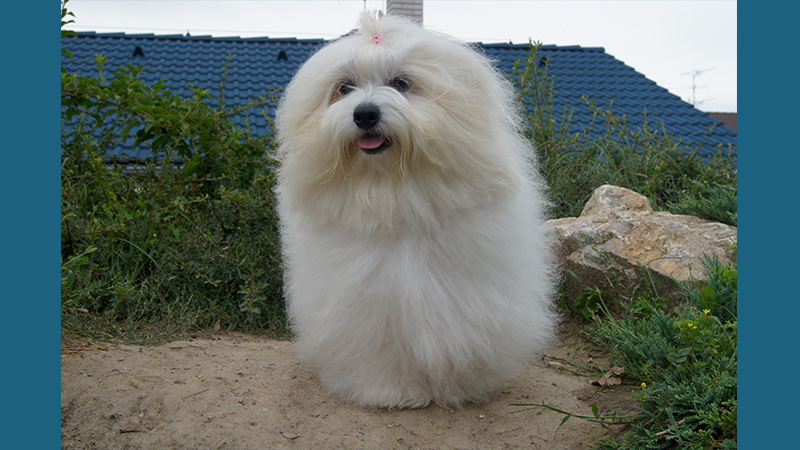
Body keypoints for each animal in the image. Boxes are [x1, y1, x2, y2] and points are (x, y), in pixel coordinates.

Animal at [276, 14, 556, 410]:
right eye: (344, 87)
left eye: (401, 83)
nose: (365, 113)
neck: (392, 192)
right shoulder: (367, 307)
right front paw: (391, 392)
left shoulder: (466, 295)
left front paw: (460, 388)